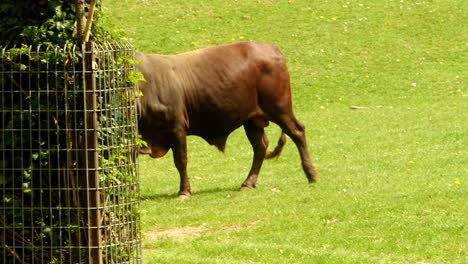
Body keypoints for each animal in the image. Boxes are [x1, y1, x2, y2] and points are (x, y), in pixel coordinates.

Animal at [135, 41, 318, 198]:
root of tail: (271, 48)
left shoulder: (177, 127)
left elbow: (181, 161)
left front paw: (184, 192)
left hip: (280, 109)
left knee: (297, 132)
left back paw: (311, 174)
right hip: (252, 120)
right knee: (260, 146)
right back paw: (248, 183)